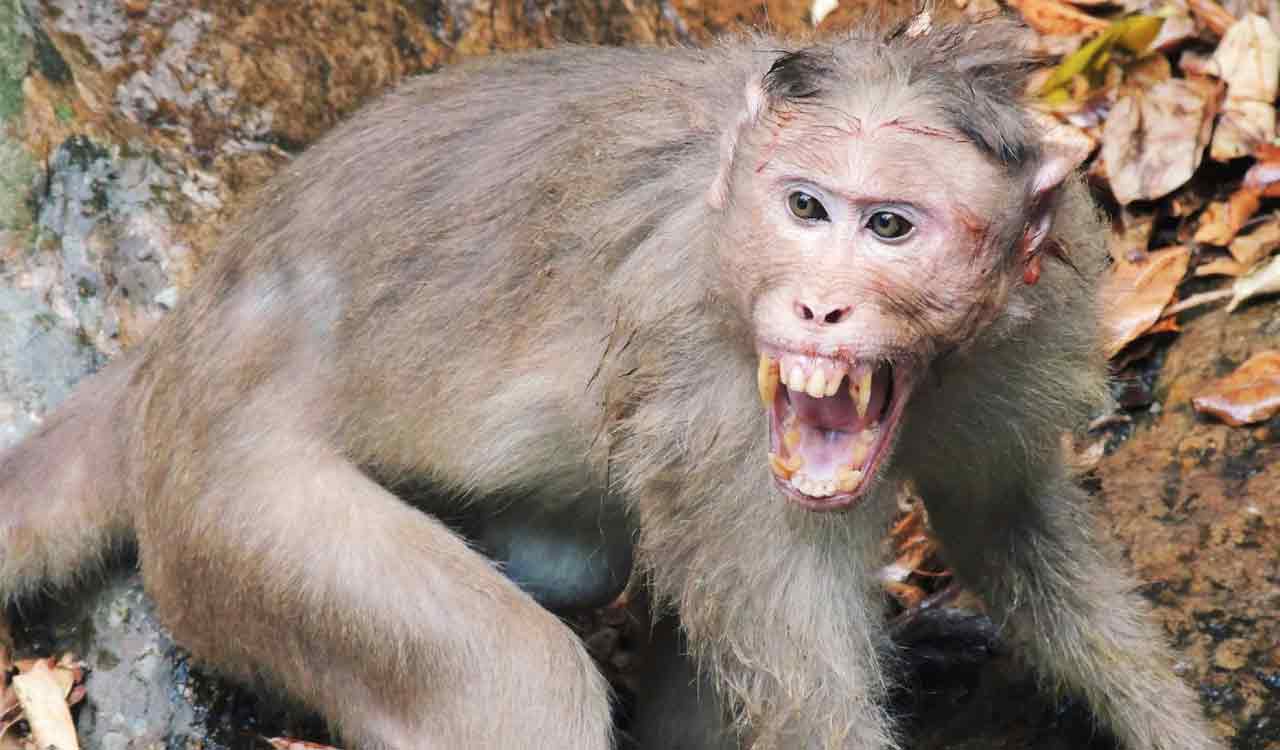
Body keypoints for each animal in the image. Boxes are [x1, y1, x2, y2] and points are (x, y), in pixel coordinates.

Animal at [0, 16, 1220, 750]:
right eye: (805, 208)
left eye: (889, 227)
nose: (819, 308)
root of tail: (180, 344)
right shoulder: (712, 400)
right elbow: (804, 697)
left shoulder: (1023, 341)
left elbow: (1003, 523)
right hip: (235, 513)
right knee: (515, 686)